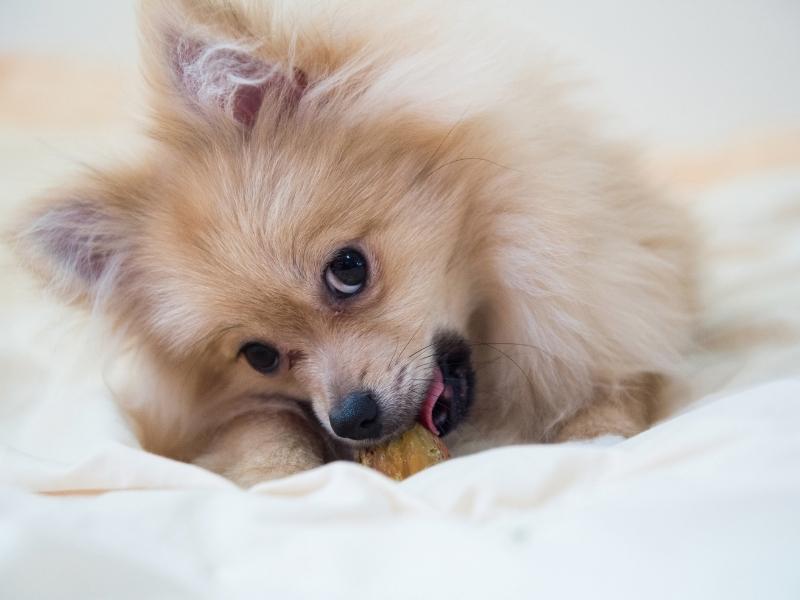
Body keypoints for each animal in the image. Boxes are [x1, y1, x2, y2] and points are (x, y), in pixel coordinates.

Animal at [17, 0, 692, 486]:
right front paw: (274, 474)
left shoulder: (625, 293)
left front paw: (595, 437)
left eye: (349, 269)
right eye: (259, 356)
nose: (352, 416)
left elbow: (616, 383)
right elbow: (257, 427)